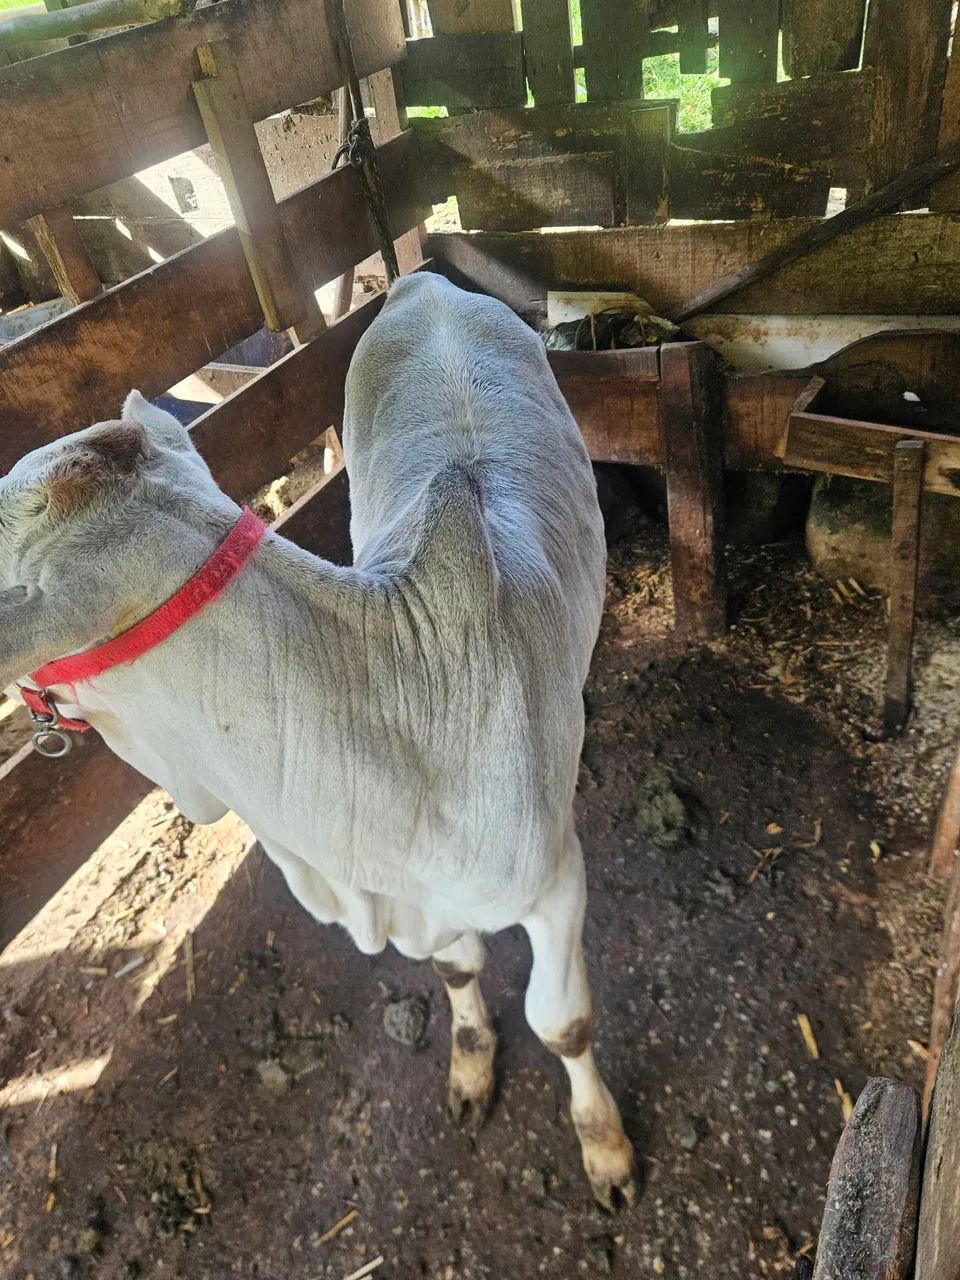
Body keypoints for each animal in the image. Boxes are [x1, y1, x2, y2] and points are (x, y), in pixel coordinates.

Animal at [0, 273, 635, 1208]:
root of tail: (425, 281)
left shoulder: (555, 884)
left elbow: (563, 1022)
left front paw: (605, 1148)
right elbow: (458, 973)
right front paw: (471, 1067)